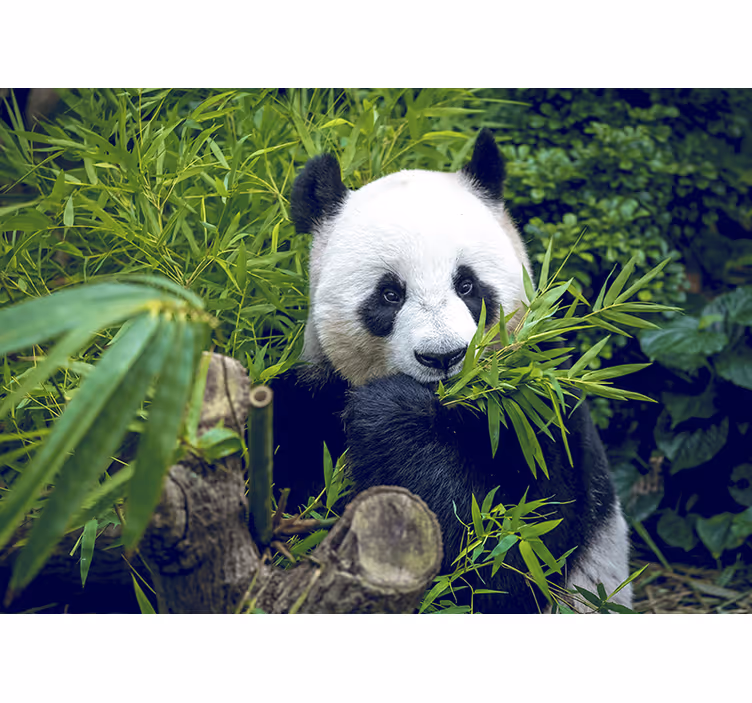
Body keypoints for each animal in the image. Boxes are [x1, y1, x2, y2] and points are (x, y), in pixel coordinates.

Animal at [271, 128, 632, 613]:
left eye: (467, 285)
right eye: (389, 294)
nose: (443, 357)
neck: (450, 407)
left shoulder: (540, 414)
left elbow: (510, 550)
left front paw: (388, 413)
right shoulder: (313, 399)